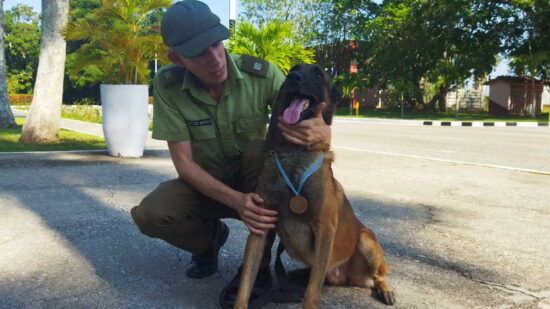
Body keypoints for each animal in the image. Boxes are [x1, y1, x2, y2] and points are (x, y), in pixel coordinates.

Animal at [234, 63, 396, 308]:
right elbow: (245, 283)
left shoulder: (324, 231)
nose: (292, 76)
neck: (293, 154)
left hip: (366, 241)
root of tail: (347, 277)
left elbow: (312, 291)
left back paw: (384, 288)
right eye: (294, 69)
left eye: (318, 75)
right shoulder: (260, 227)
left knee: (378, 274)